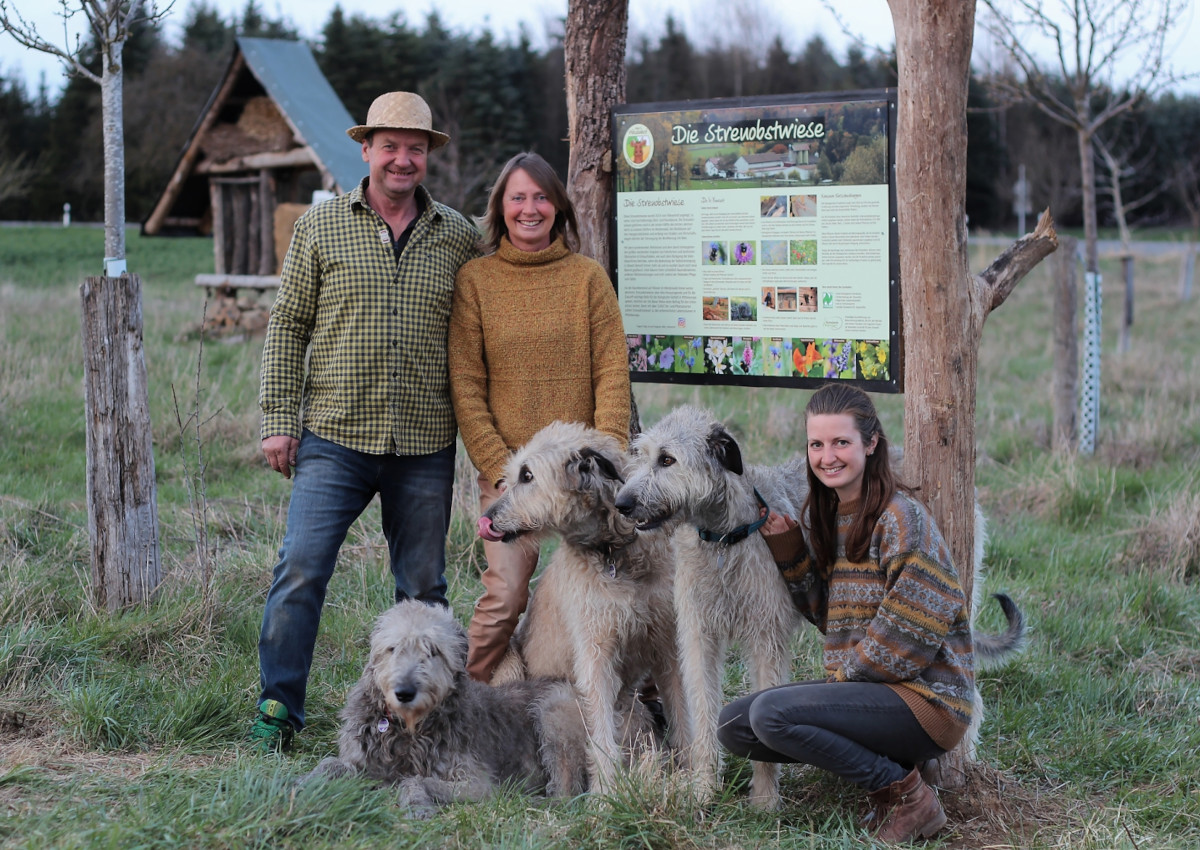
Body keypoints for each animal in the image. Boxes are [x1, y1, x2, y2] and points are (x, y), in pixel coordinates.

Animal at [302, 597, 592, 811]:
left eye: (433, 651)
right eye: (393, 648)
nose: (404, 693)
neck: (408, 729)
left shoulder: (477, 783)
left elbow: (412, 778)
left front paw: (417, 802)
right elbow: (331, 762)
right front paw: (303, 783)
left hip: (554, 710)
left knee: (568, 794)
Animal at [480, 422, 686, 792]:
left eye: (527, 475)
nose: (486, 519)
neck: (614, 553)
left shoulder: (667, 644)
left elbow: (685, 715)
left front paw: (697, 776)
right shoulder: (595, 653)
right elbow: (601, 730)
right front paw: (607, 794)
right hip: (514, 665)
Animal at [614, 408, 1027, 806]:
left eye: (667, 459)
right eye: (640, 454)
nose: (621, 503)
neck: (723, 538)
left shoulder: (766, 638)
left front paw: (764, 802)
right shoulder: (700, 636)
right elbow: (702, 711)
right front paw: (702, 790)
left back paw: (961, 758)